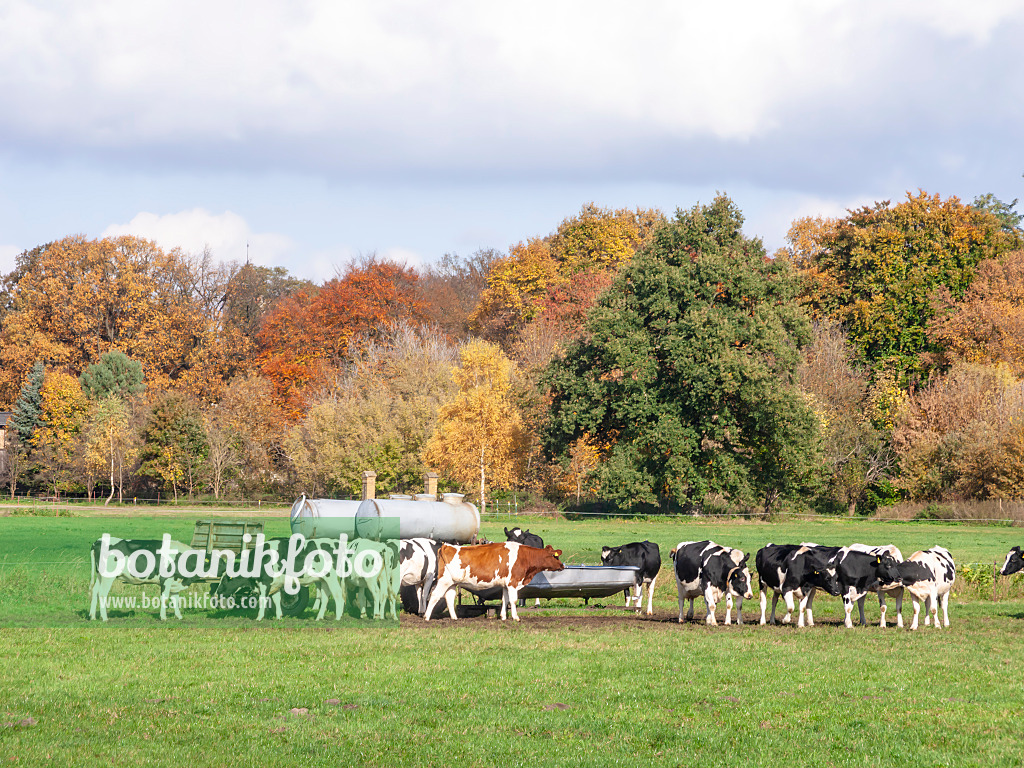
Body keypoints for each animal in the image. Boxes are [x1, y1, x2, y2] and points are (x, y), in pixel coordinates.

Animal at [423, 544, 569, 622]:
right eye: (555, 556)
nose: (562, 566)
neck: (524, 557)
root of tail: (447, 546)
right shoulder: (513, 583)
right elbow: (513, 600)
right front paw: (516, 617)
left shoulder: (505, 584)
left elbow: (505, 600)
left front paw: (504, 617)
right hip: (444, 580)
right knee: (435, 596)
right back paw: (426, 617)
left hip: (452, 582)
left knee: (449, 597)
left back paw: (454, 618)